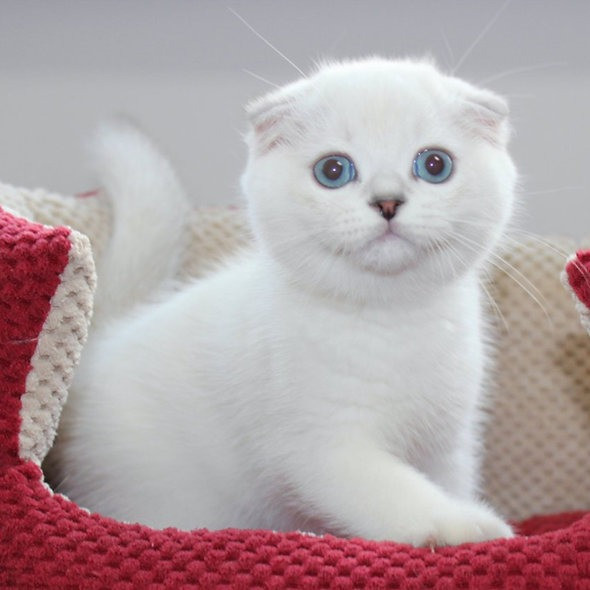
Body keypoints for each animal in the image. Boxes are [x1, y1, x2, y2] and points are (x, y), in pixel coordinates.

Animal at [54, 57, 520, 548]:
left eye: (434, 165)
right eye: (333, 171)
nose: (388, 201)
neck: (393, 318)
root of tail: (97, 349)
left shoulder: (448, 446)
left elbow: (446, 482)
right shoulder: (320, 446)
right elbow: (396, 493)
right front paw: (468, 526)